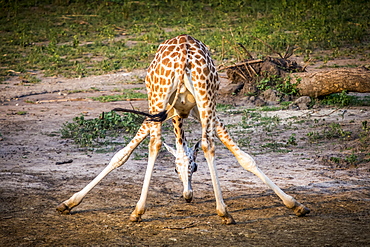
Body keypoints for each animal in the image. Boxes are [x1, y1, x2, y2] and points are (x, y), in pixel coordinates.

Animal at [55, 33, 310, 225]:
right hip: (204, 98)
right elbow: (243, 157)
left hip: (161, 99)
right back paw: (223, 212)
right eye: (177, 170)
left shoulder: (166, 111)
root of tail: (183, 57)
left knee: (156, 143)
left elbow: (121, 155)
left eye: (194, 168)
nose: (188, 195)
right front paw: (296, 205)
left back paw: (139, 211)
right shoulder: (192, 112)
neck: (182, 114)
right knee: (206, 144)